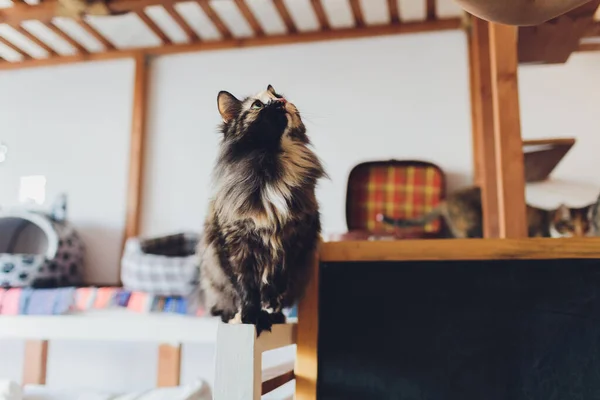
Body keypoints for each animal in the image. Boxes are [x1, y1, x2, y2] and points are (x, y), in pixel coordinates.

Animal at [199, 86, 326, 336]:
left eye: (278, 96)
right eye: (257, 105)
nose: (281, 101)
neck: (272, 167)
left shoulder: (294, 243)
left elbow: (275, 289)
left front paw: (269, 314)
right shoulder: (236, 245)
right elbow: (246, 288)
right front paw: (249, 317)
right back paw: (232, 317)